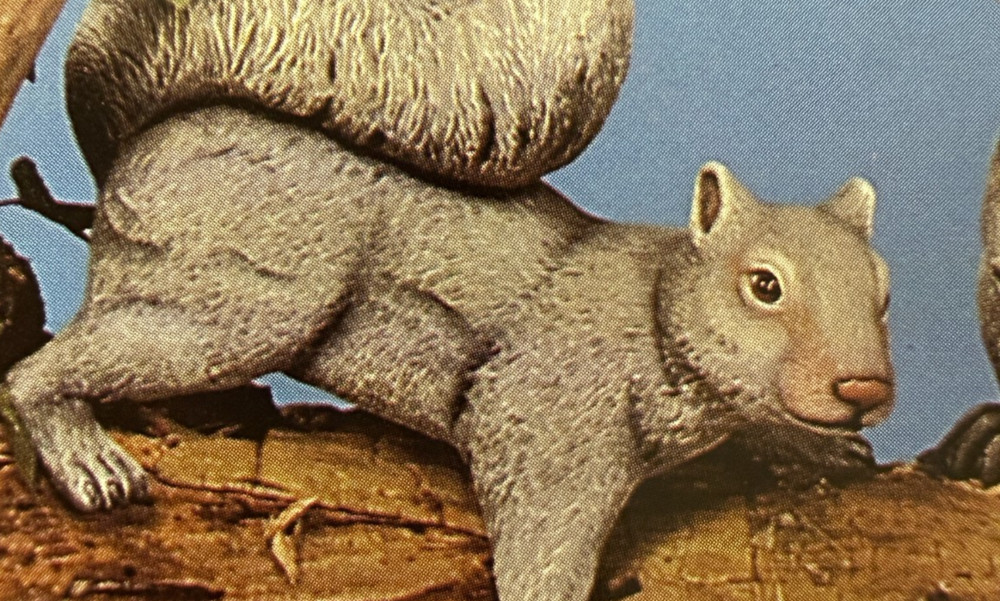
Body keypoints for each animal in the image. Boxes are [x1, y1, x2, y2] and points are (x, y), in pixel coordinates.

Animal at [2, 0, 895, 600]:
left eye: (885, 290)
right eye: (764, 285)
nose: (865, 388)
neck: (657, 310)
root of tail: (146, 147)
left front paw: (819, 447)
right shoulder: (545, 421)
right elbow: (542, 543)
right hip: (234, 306)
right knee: (35, 372)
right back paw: (85, 454)